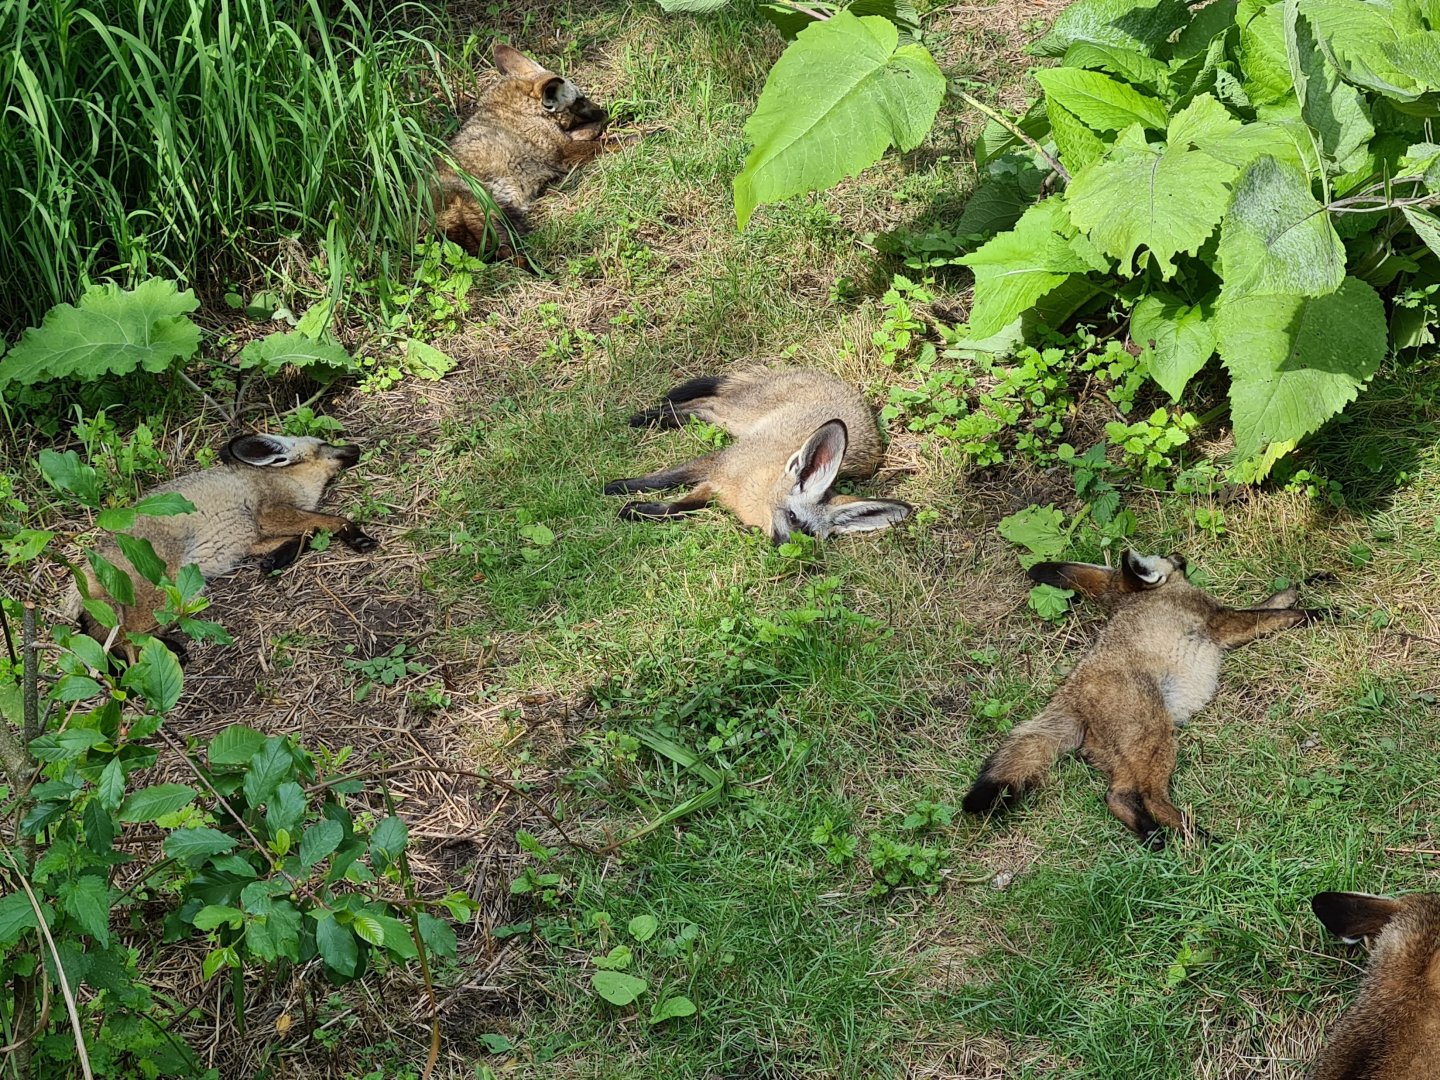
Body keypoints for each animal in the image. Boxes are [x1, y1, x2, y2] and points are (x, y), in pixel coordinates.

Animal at [64, 434, 378, 652]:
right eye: (326, 444)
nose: (356, 447)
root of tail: (87, 568)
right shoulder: (269, 514)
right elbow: (331, 521)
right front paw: (357, 535)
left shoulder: (251, 538)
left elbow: (303, 536)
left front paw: (275, 559)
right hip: (161, 593)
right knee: (123, 642)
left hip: (184, 595)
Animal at [434, 43, 609, 255]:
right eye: (580, 100)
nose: (605, 110)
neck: (518, 109)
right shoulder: (565, 152)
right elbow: (610, 143)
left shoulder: (560, 143)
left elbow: (587, 130)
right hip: (487, 215)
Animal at [603, 368, 913, 544]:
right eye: (792, 517)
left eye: (811, 534)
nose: (787, 547)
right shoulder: (717, 465)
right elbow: (665, 479)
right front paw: (620, 487)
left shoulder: (714, 488)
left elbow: (678, 506)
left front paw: (640, 510)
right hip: (737, 417)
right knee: (706, 402)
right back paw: (650, 416)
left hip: (732, 422)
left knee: (703, 410)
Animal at [962, 550, 1310, 846]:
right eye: (1164, 556)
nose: (1179, 554)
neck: (1140, 596)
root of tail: (1071, 694)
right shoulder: (1221, 622)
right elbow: (1276, 612)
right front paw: (1314, 612)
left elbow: (1274, 600)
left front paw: (1304, 585)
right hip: (1157, 737)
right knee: (1143, 796)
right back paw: (1199, 837)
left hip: (1132, 751)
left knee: (1117, 794)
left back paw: (1151, 834)